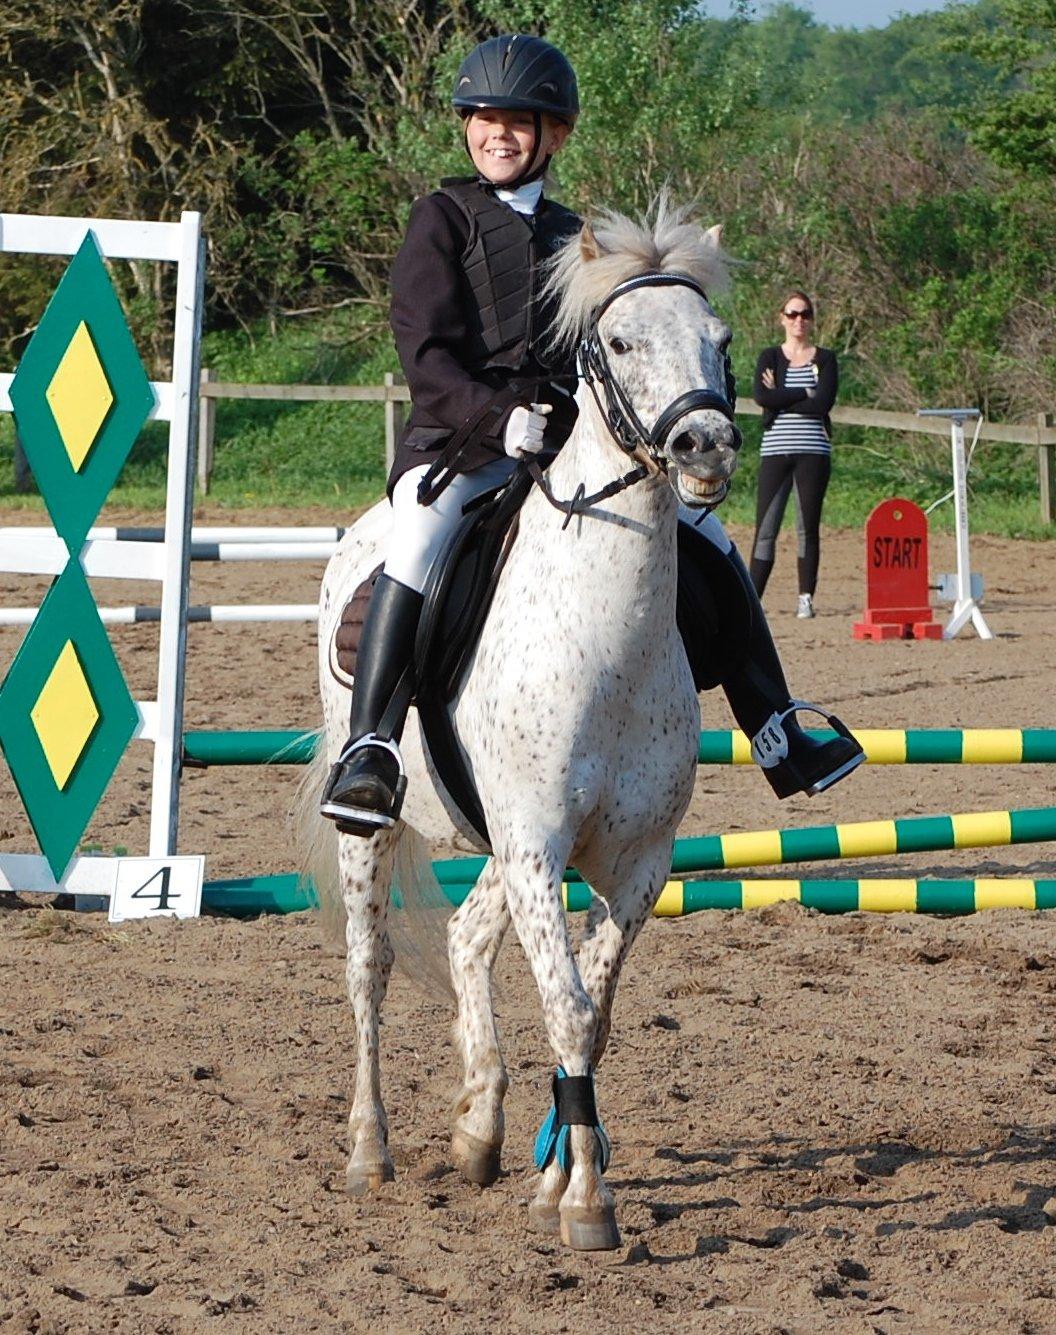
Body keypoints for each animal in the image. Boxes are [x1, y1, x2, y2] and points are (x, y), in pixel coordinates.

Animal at [304, 199, 739, 1251]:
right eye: (619, 342)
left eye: (718, 340)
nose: (706, 449)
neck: (605, 640)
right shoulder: (540, 845)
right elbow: (571, 1007)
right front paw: (585, 1203)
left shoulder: (634, 861)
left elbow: (592, 1012)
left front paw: (558, 1173)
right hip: (385, 826)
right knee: (370, 965)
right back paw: (370, 1151)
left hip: (502, 840)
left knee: (466, 937)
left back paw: (480, 1127)